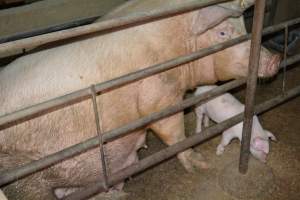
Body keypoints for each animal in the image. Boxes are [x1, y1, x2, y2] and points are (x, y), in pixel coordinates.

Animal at [0, 0, 282, 198]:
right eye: (222, 33)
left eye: (245, 27)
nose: (276, 60)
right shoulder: (158, 96)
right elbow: (173, 132)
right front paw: (200, 164)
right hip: (21, 178)